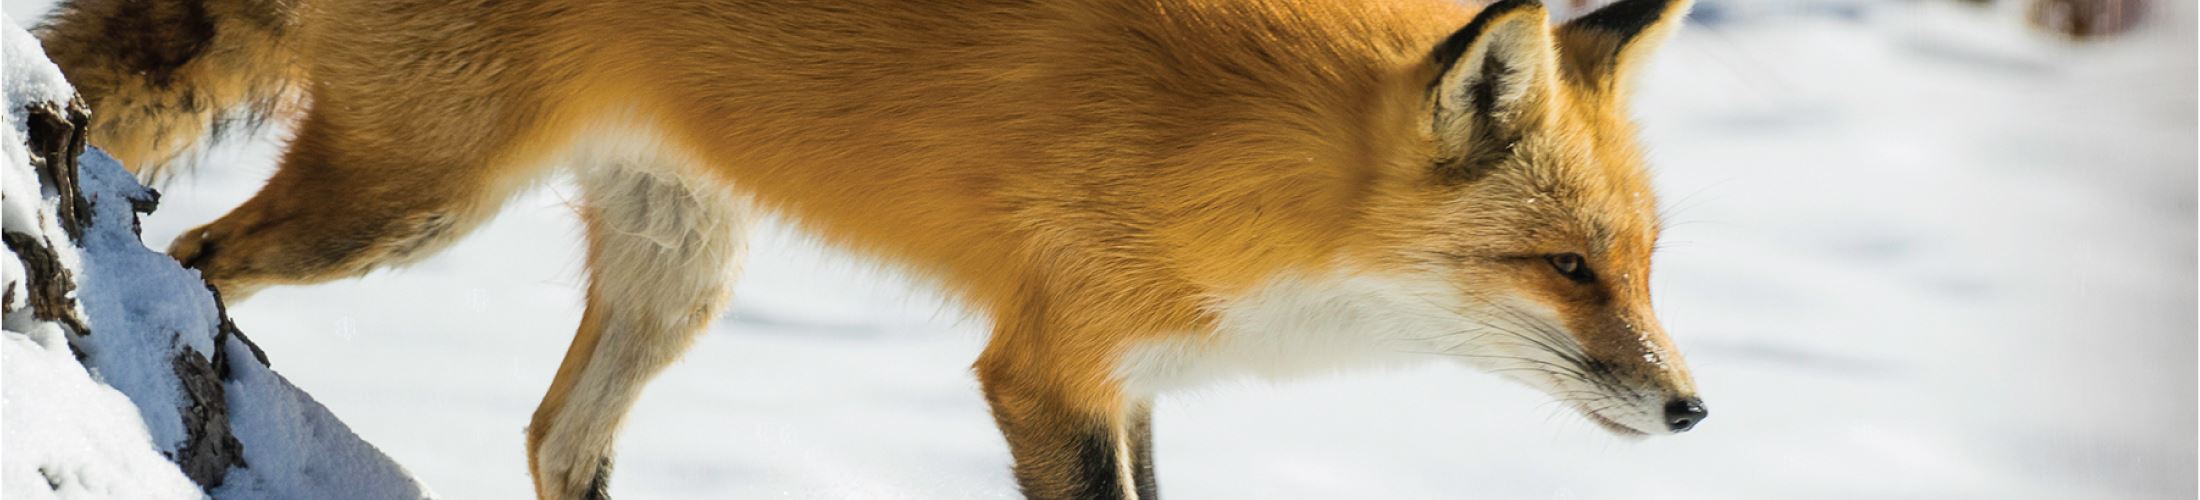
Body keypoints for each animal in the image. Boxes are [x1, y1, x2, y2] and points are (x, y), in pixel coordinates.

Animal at [37, 0, 1706, 497]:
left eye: (1643, 265)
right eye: (1566, 270)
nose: (1695, 409)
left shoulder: (1129, 377)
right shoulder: (1045, 368)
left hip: (683, 271)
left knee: (556, 437)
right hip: (402, 209)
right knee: (195, 262)